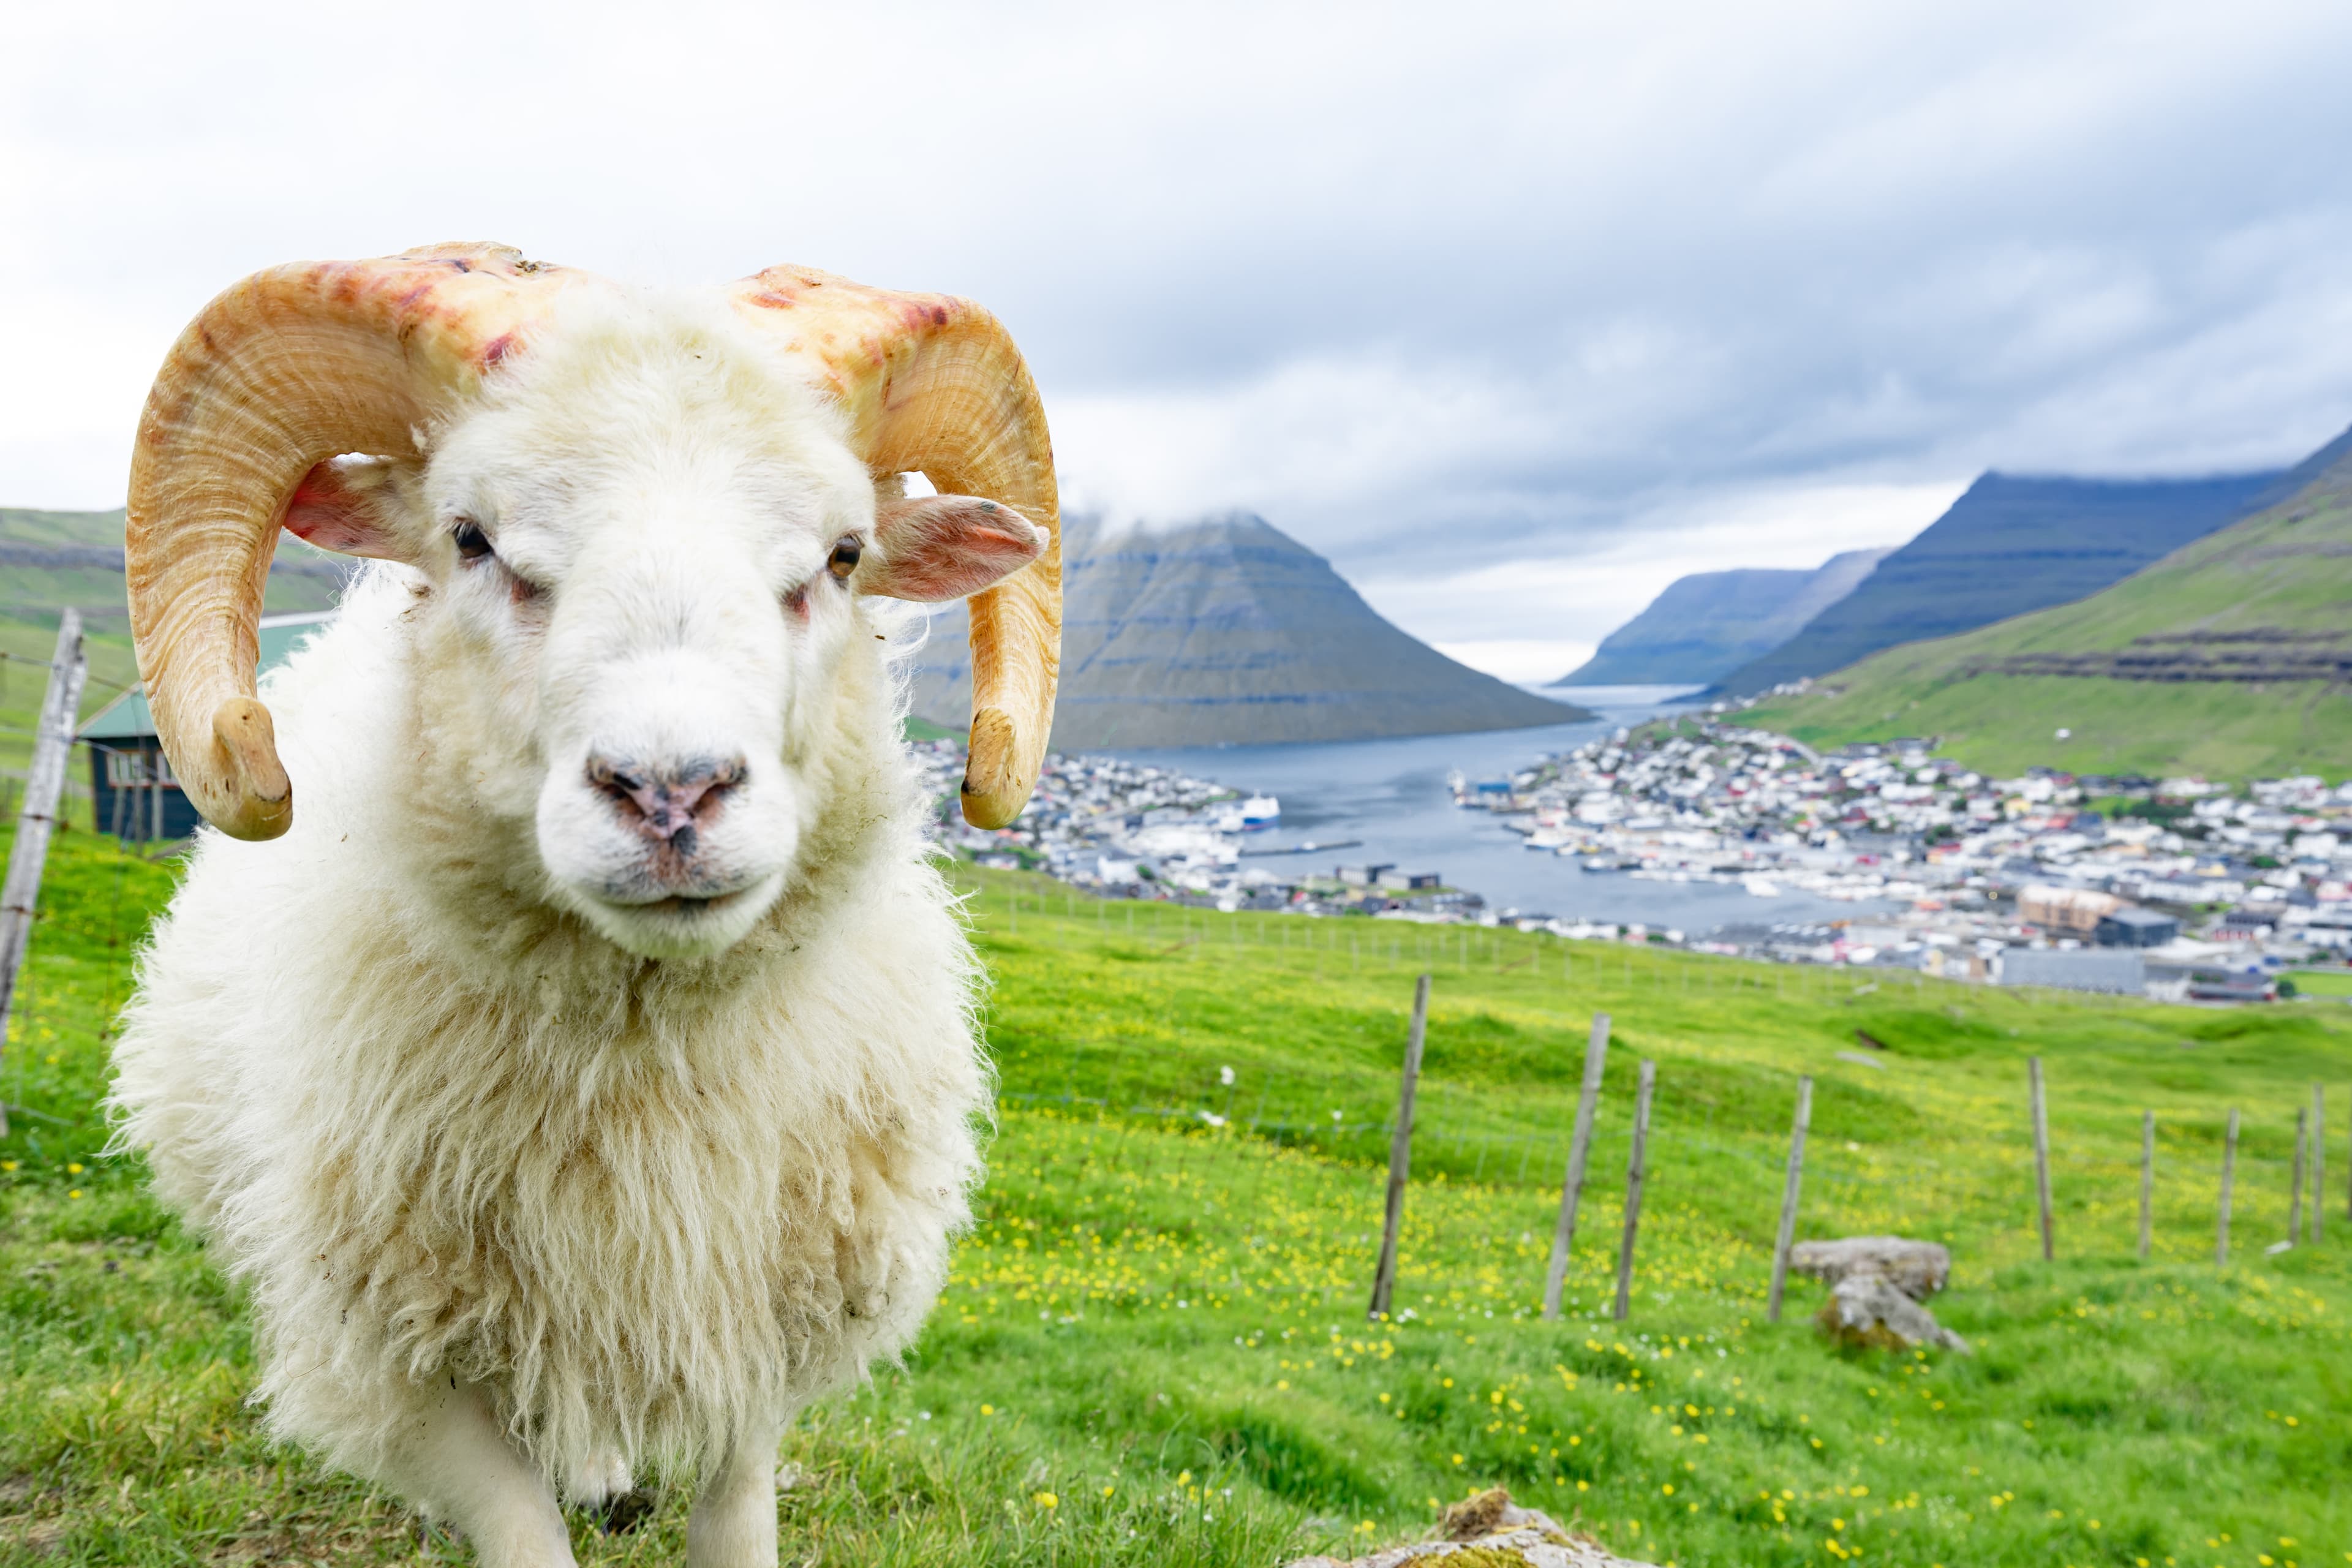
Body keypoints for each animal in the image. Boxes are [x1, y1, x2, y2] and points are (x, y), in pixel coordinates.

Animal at [104, 243, 1062, 1568]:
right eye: (471, 538)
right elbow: (519, 1523)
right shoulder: (403, 1359)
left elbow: (736, 1508)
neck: (646, 1060)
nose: (672, 792)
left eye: (842, 555)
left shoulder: (757, 1319)